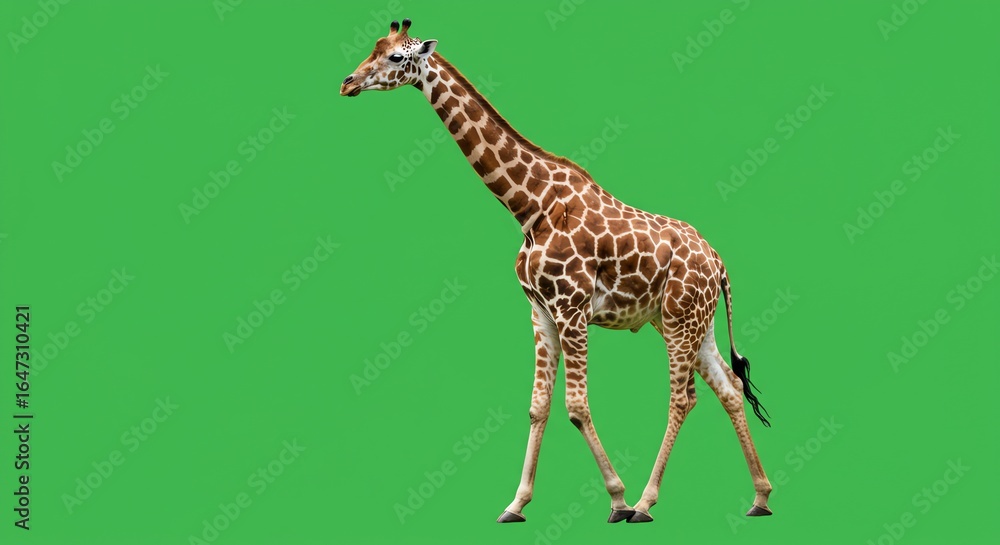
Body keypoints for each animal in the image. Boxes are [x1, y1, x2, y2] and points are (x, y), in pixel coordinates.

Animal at [342, 19, 774, 523]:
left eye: (395, 57)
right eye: (374, 47)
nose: (347, 83)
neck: (529, 206)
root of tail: (719, 263)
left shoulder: (572, 308)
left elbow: (576, 406)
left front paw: (617, 499)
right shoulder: (541, 312)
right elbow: (538, 406)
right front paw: (515, 504)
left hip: (679, 321)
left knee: (684, 397)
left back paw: (645, 502)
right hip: (689, 321)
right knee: (729, 388)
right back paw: (760, 497)